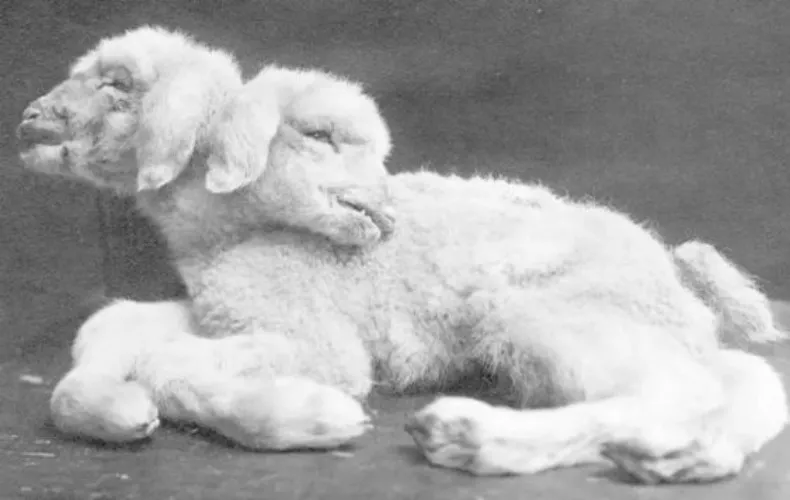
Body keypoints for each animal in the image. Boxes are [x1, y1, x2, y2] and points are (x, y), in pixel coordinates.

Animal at [16, 25, 787, 484]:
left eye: (118, 87)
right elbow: (110, 327)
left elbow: (171, 365)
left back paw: (471, 437)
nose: (28, 120)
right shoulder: (221, 312)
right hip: (626, 317)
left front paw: (310, 416)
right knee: (741, 381)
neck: (233, 233)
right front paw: (111, 409)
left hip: (546, 306)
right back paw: (682, 456)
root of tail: (674, 264)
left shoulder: (315, 338)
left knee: (681, 389)